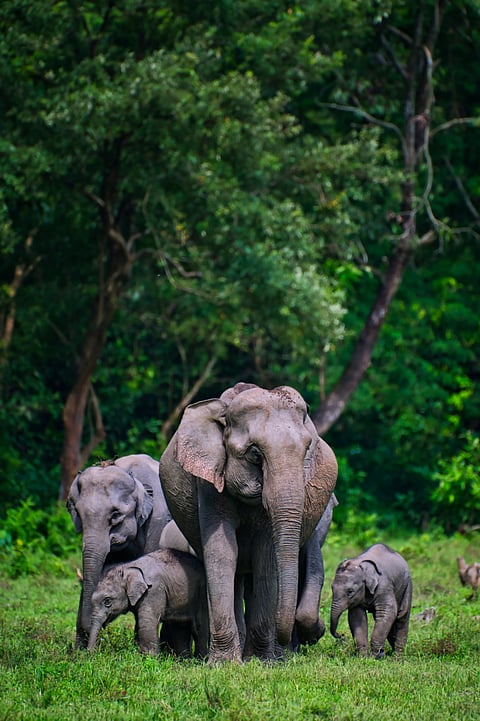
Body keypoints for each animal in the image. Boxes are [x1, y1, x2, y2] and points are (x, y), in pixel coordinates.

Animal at [159, 382, 338, 663]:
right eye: (255, 454)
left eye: (308, 449)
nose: (319, 632)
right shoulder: (209, 482)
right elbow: (222, 552)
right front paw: (224, 664)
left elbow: (266, 556)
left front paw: (263, 662)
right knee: (236, 576)